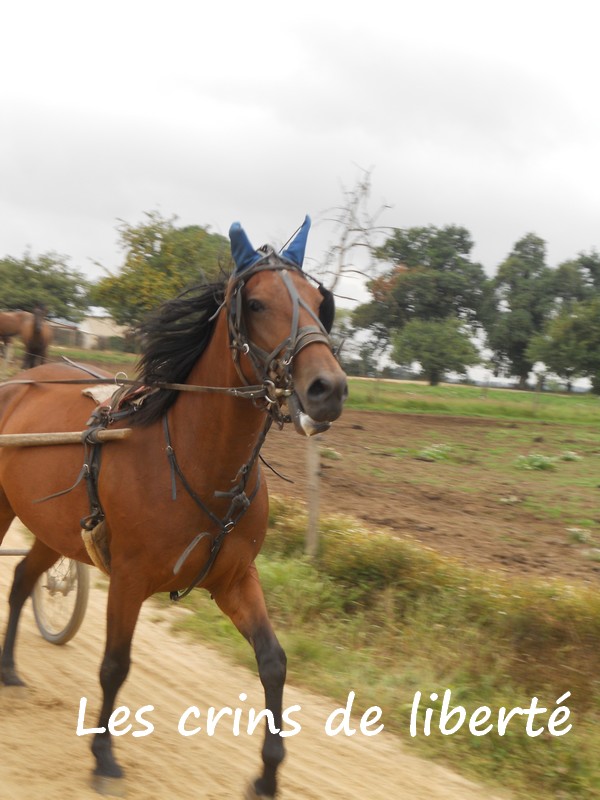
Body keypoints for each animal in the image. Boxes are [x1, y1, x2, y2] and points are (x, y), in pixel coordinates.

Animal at [0, 216, 346, 796]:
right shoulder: (130, 577)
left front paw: (268, 772)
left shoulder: (235, 578)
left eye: (322, 303)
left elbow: (273, 662)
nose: (329, 388)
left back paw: (7, 668)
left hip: (54, 528)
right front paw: (103, 756)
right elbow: (115, 664)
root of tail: (22, 380)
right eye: (256, 303)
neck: (195, 460)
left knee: (25, 577)